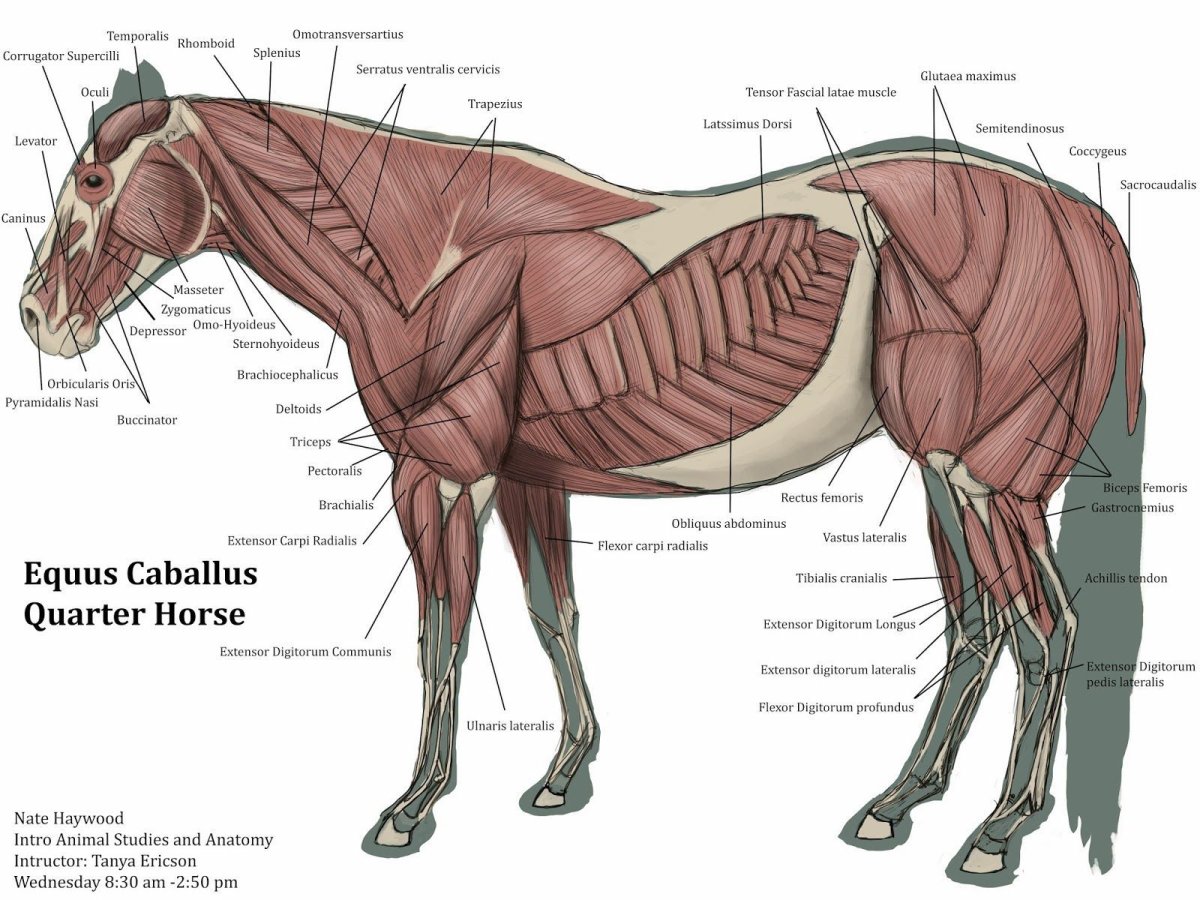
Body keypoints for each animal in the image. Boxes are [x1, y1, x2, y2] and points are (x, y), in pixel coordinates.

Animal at [19, 92, 1143, 878]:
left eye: (93, 178)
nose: (38, 316)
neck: (433, 255)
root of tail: (1081, 225)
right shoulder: (526, 481)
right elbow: (551, 614)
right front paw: (566, 774)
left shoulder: (442, 476)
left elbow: (442, 632)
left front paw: (412, 808)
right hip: (946, 480)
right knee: (979, 629)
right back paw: (898, 803)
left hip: (987, 482)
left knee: (1044, 630)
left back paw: (998, 832)